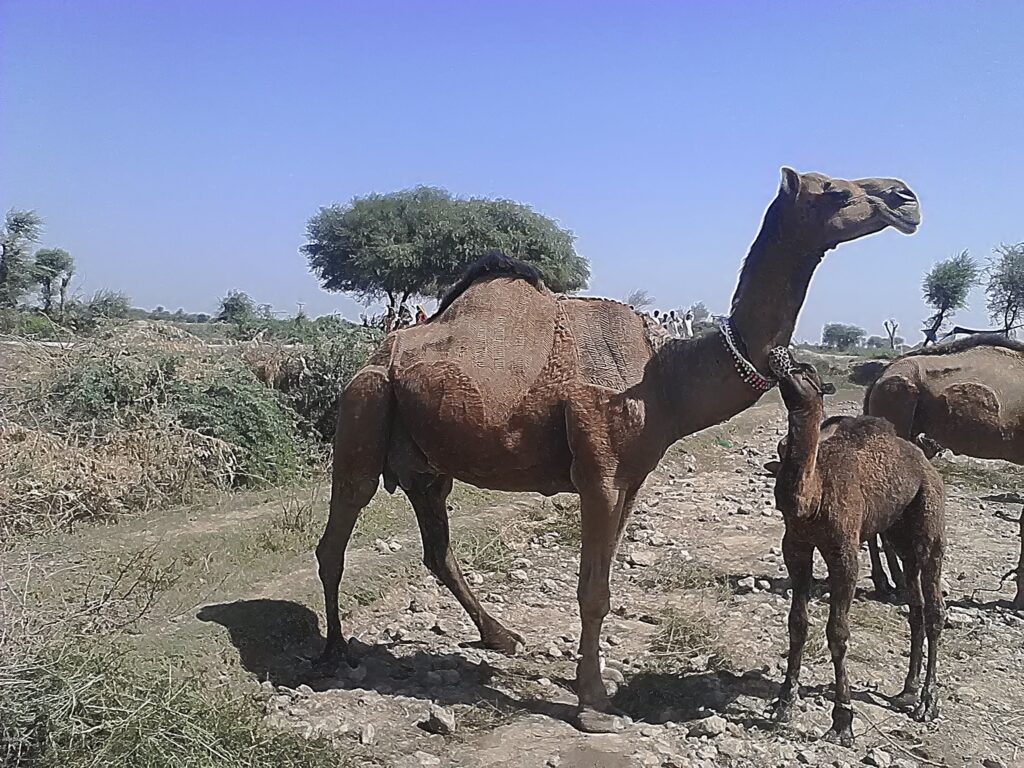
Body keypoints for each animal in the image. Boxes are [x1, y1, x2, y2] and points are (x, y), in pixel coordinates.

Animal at [316, 168, 921, 732]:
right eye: (835, 191)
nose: (905, 198)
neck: (665, 379)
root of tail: (381, 352)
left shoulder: (631, 480)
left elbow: (604, 582)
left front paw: (591, 685)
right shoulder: (600, 474)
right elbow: (592, 591)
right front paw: (593, 705)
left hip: (425, 460)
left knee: (436, 546)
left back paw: (501, 636)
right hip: (365, 404)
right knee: (338, 530)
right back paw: (335, 652)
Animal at [770, 357, 945, 746]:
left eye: (808, 372)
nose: (782, 360)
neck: (813, 497)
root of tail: (927, 462)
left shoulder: (844, 552)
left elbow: (838, 633)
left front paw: (842, 719)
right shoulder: (796, 545)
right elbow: (797, 623)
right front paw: (784, 703)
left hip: (931, 523)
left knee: (935, 610)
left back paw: (927, 703)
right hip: (900, 535)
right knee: (915, 607)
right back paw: (907, 691)